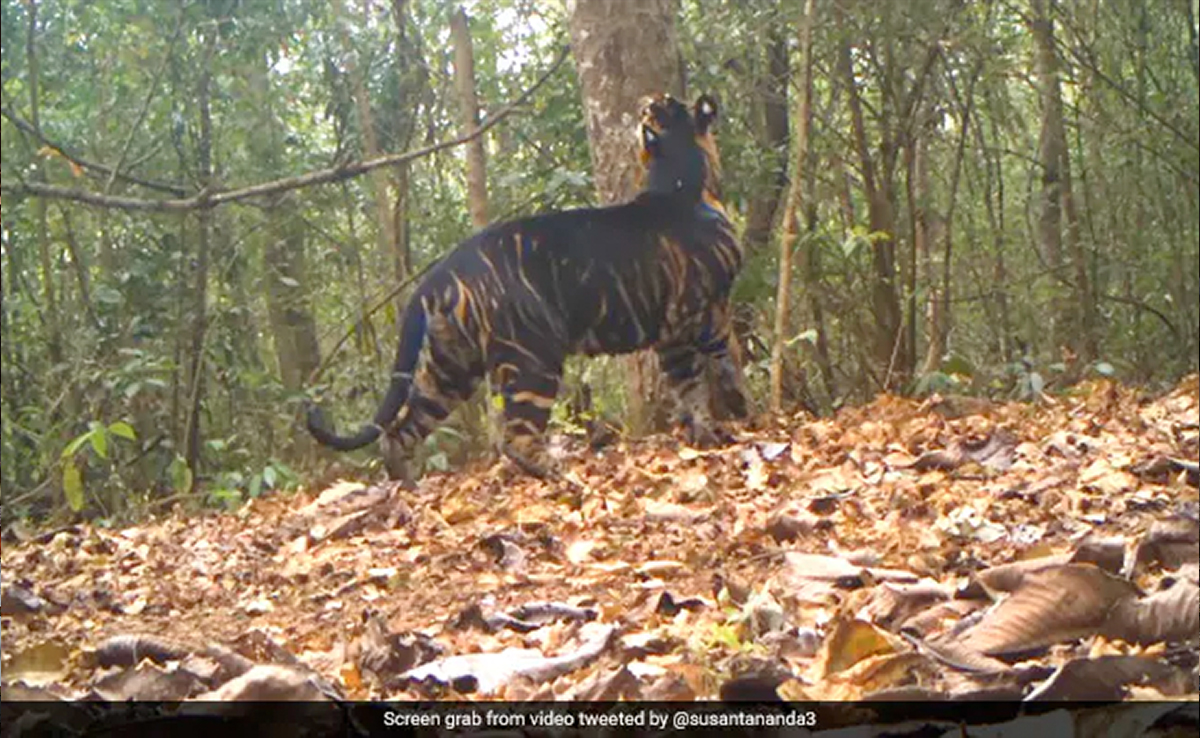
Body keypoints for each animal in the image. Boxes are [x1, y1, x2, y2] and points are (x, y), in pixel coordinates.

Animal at [306, 94, 747, 481]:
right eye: (667, 102)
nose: (646, 100)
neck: (680, 178)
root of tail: (439, 272)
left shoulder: (671, 333)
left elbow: (686, 386)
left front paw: (701, 432)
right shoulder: (704, 312)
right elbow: (719, 367)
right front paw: (735, 419)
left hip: (449, 366)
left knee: (401, 431)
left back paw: (408, 487)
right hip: (533, 357)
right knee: (514, 438)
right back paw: (563, 475)